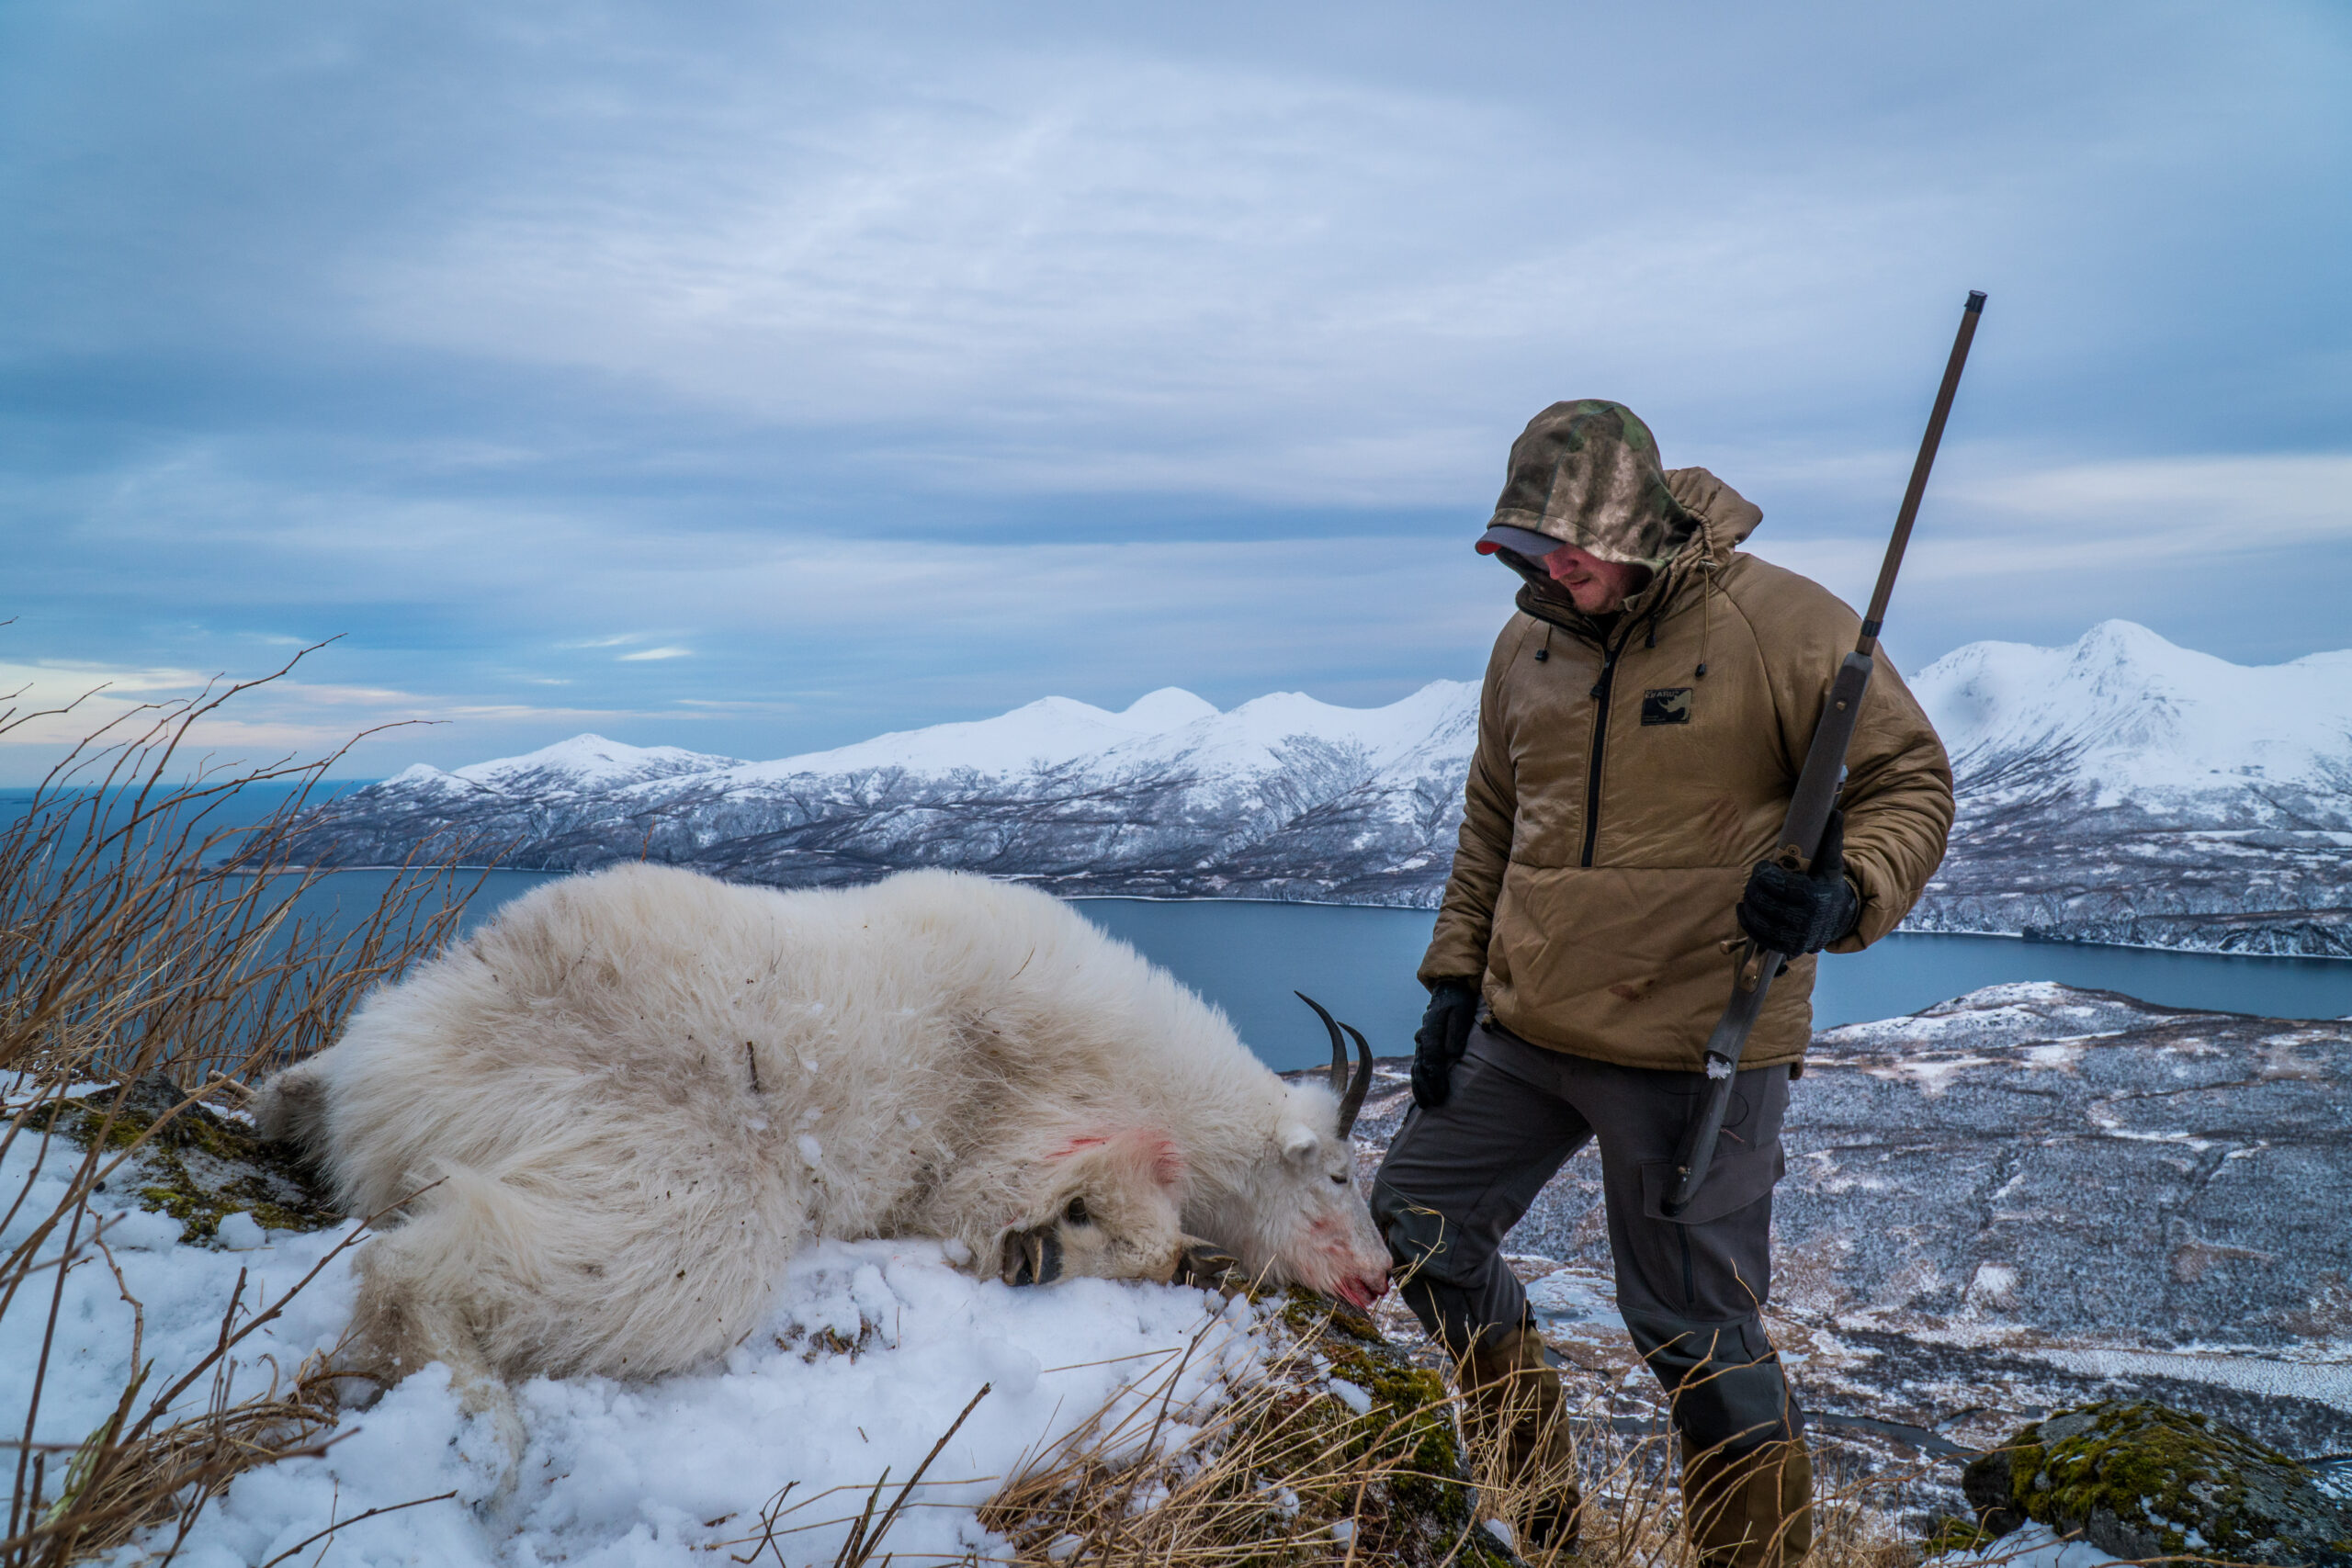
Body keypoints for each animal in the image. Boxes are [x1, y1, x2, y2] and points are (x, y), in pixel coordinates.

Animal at [259, 864, 1383, 1392]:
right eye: (1336, 1175)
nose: (1376, 1279)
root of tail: (388, 1077)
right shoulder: (998, 1152)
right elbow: (1111, 1226)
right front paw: (1059, 1244)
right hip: (689, 1191)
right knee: (425, 1278)